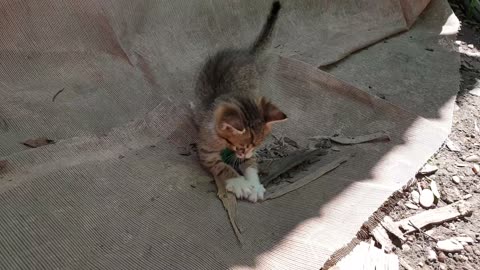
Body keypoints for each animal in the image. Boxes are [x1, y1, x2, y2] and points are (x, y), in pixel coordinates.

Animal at [194, 0, 286, 202]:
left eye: (257, 145)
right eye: (241, 147)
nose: (243, 155)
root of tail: (246, 53)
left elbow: (252, 165)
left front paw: (254, 184)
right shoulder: (205, 151)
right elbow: (222, 167)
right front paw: (240, 183)